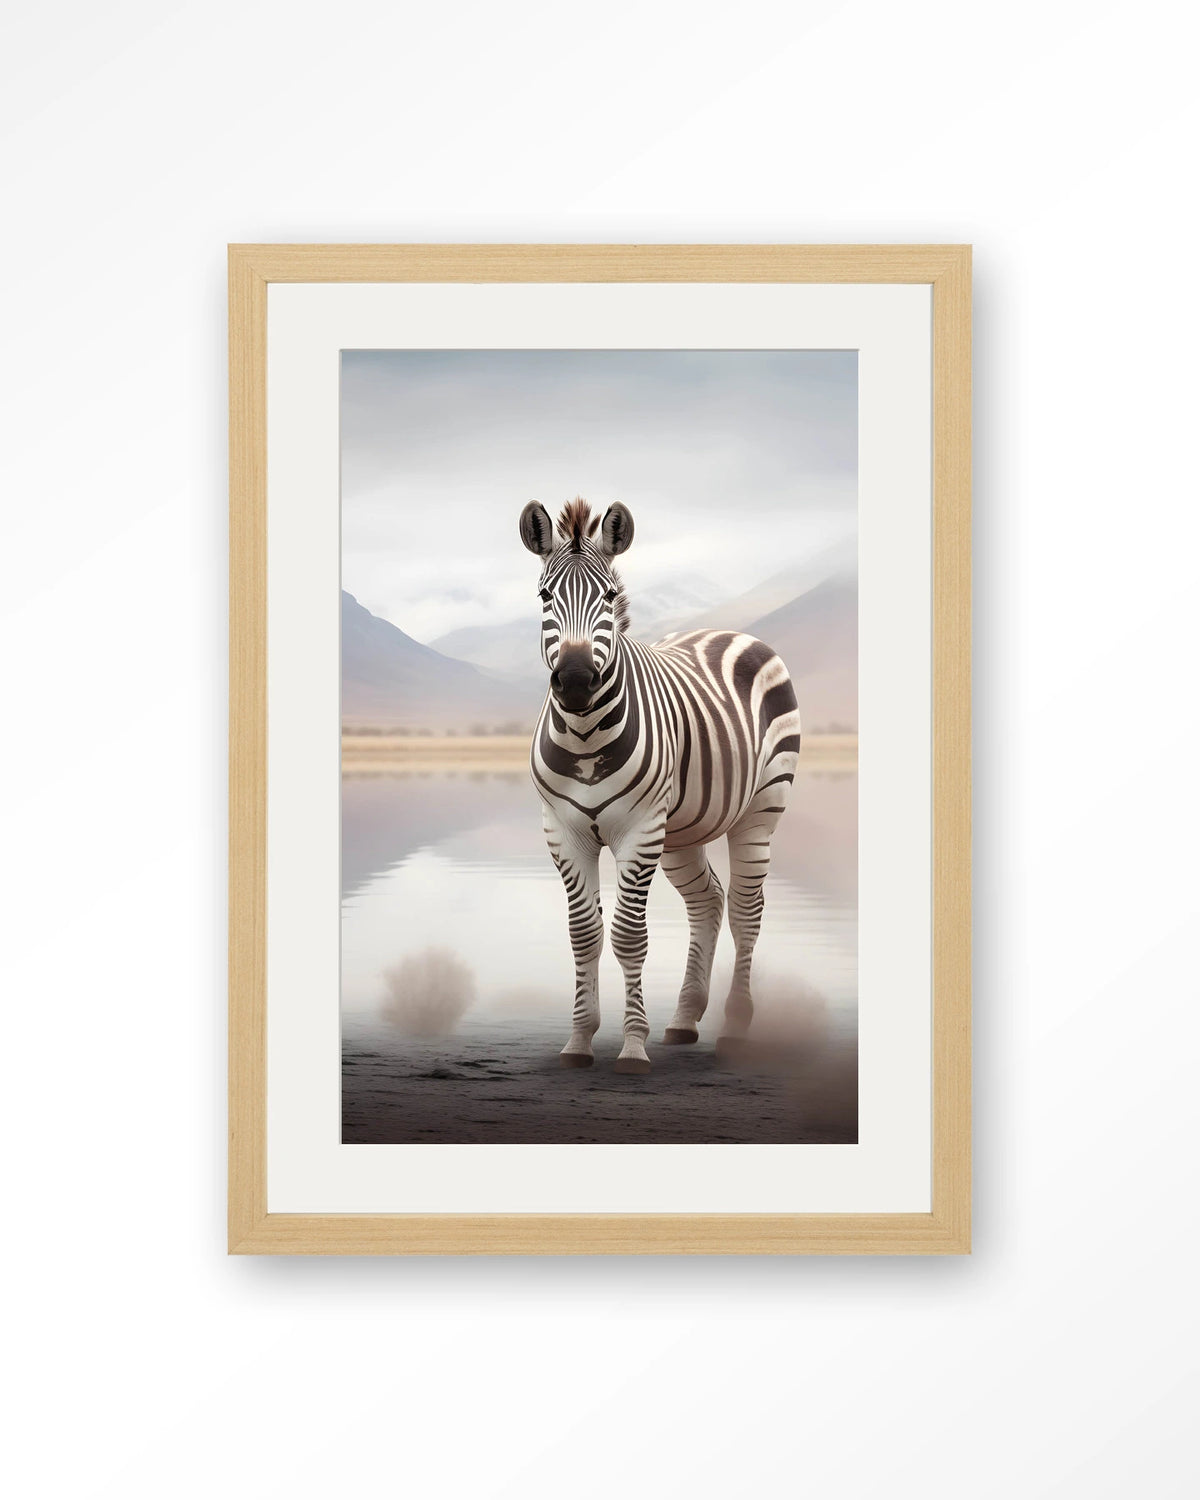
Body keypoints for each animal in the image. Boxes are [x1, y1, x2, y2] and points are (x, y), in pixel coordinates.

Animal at [519, 496, 801, 1074]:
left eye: (609, 596)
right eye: (544, 596)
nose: (575, 681)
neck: (584, 735)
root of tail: (730, 631)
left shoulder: (638, 830)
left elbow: (629, 936)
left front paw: (632, 1046)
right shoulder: (563, 832)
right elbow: (584, 935)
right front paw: (579, 1040)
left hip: (760, 810)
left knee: (746, 910)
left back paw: (734, 1028)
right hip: (681, 832)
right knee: (708, 901)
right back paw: (685, 1019)